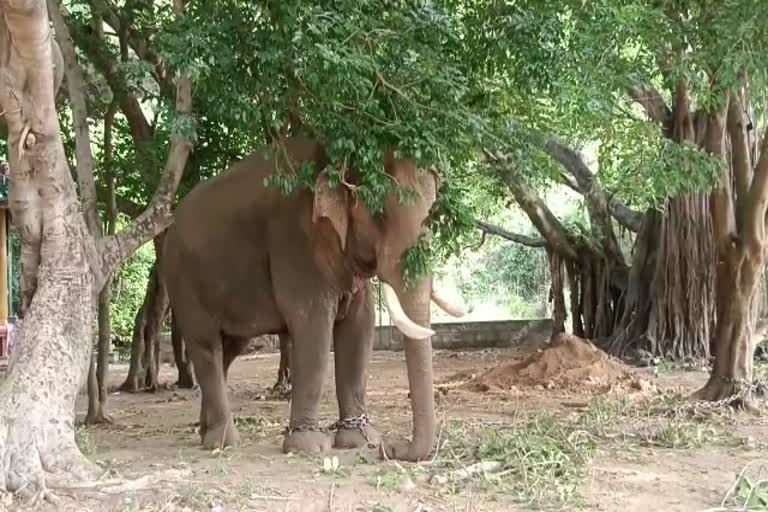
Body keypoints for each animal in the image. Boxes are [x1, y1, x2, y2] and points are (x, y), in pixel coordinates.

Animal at [160, 135, 468, 460]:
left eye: (430, 214)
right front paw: (308, 447)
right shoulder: (295, 242)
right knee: (206, 345)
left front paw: (360, 440)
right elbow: (314, 326)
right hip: (183, 281)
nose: (393, 447)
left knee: (229, 349)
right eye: (380, 214)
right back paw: (223, 443)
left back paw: (206, 433)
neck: (337, 154)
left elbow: (360, 327)